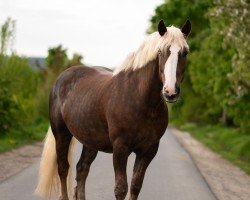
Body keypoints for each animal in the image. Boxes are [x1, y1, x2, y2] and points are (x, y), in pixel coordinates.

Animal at [34, 19, 191, 200]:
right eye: (160, 51)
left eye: (185, 52)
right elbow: (121, 189)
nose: (170, 92)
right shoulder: (120, 149)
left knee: (82, 169)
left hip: (90, 140)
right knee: (63, 168)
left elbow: (135, 186)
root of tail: (62, 78)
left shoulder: (148, 151)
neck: (140, 101)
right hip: (61, 134)